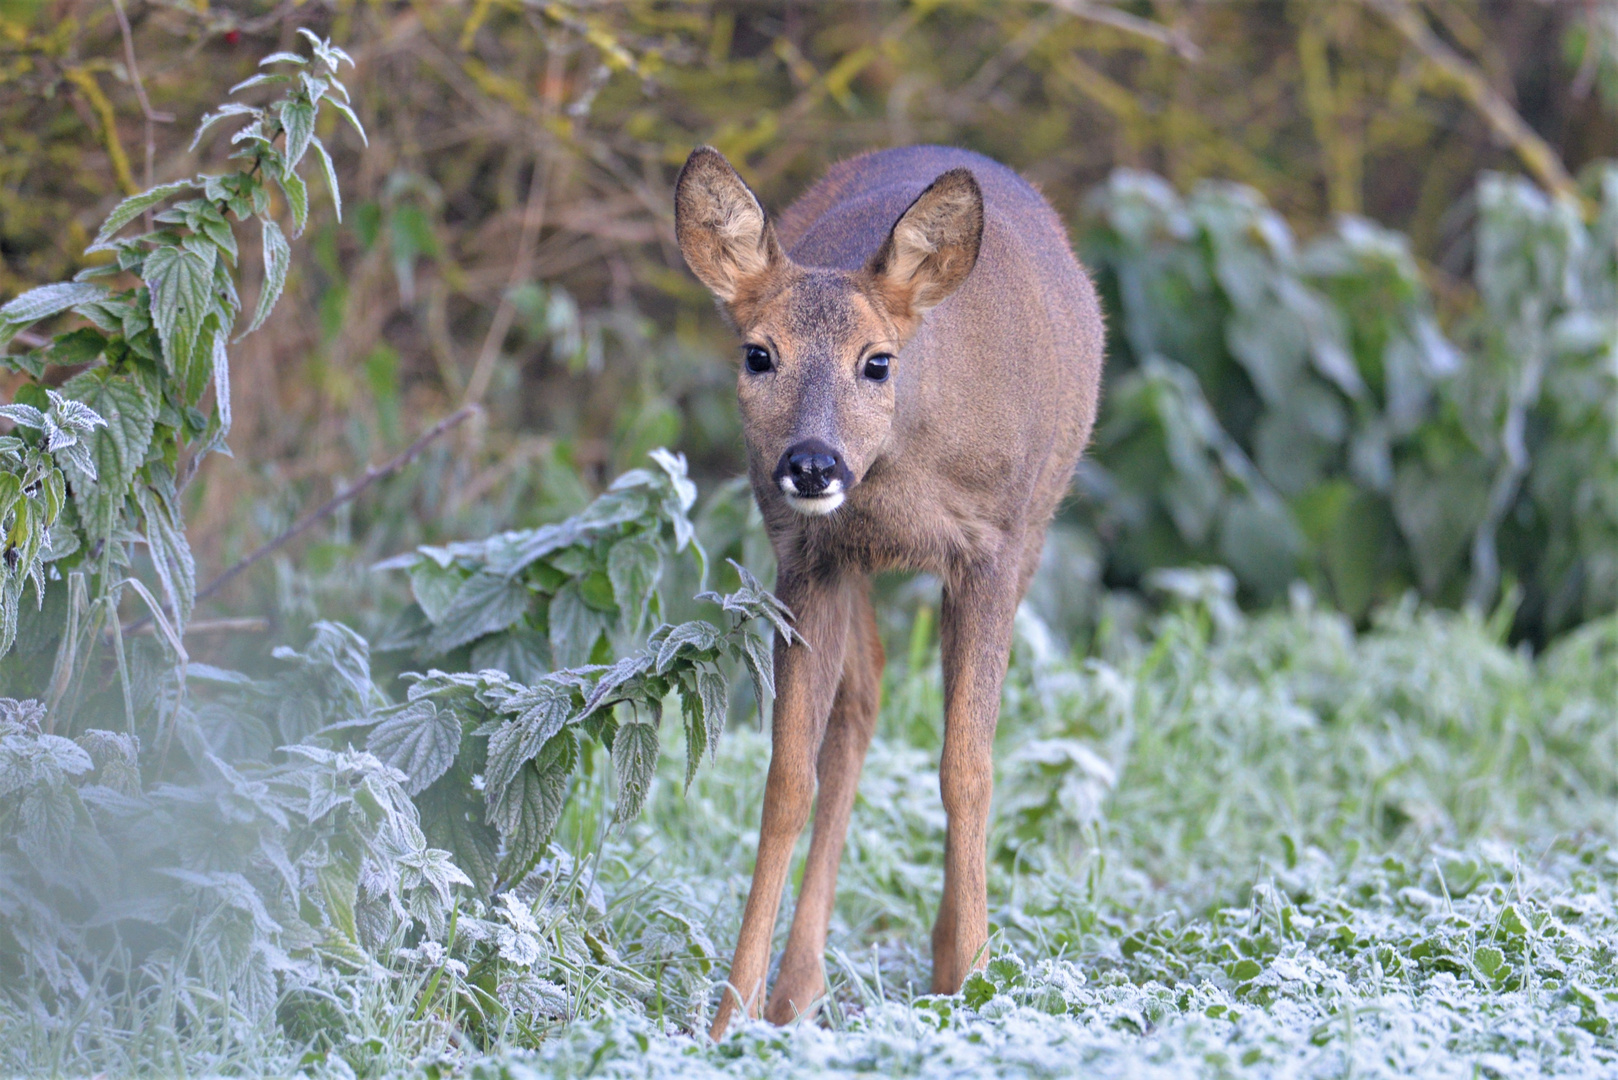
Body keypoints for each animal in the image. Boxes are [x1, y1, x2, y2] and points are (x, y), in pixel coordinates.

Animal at [676, 143, 1106, 1036]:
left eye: (877, 361)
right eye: (758, 354)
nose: (812, 464)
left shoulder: (993, 549)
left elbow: (968, 768)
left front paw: (972, 977)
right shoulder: (808, 555)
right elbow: (786, 778)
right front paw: (729, 1017)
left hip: (1037, 522)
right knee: (860, 703)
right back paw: (796, 989)